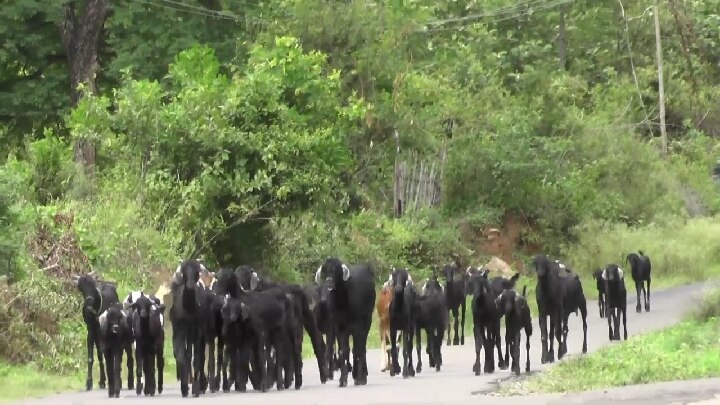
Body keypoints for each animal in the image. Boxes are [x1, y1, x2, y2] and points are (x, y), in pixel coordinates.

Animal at [318, 258, 380, 386]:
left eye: (337, 270)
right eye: (325, 270)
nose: (329, 281)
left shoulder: (359, 326)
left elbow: (358, 349)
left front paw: (360, 378)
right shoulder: (339, 327)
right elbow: (343, 351)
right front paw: (343, 379)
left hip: (367, 322)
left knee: (361, 348)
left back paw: (361, 374)